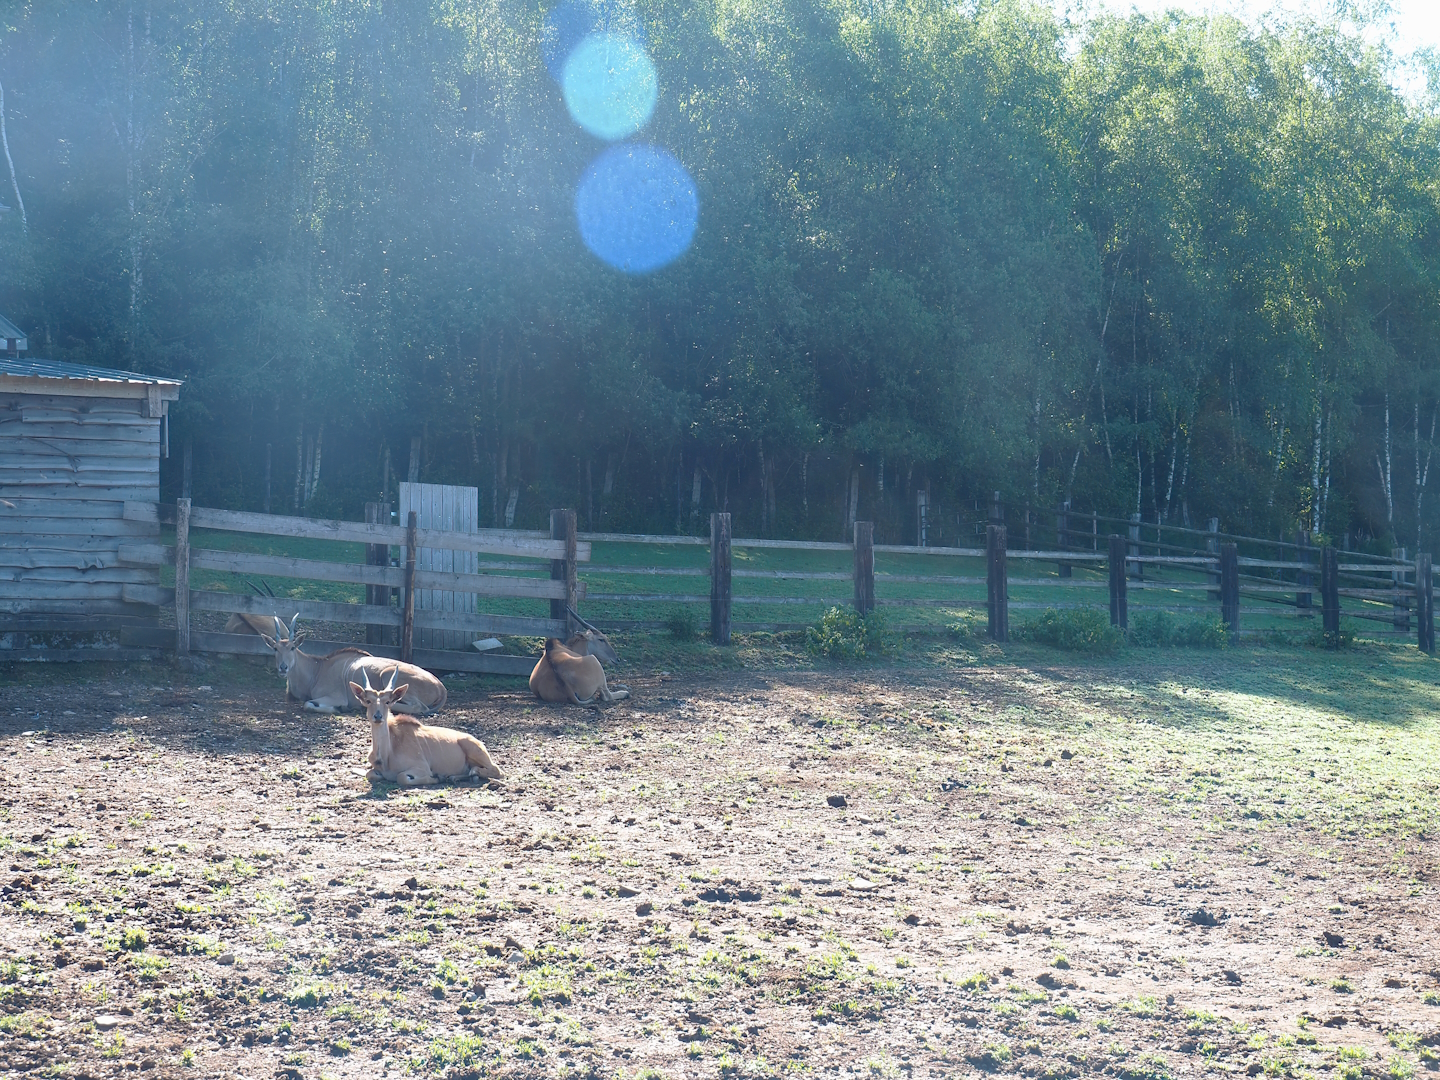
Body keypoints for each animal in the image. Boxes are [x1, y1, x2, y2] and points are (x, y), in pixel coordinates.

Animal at [259, 615, 447, 715]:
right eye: (275, 648)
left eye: (292, 647)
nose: (283, 668)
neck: (318, 669)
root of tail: (441, 687)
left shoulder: (335, 696)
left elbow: (308, 704)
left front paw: (339, 708)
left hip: (387, 674)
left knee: (418, 707)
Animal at [354, 669, 503, 787]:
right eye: (368, 701)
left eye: (388, 701)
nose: (378, 716)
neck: (387, 755)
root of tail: (478, 741)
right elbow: (369, 774)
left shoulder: (422, 767)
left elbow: (402, 777)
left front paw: (436, 777)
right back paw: (453, 777)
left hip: (476, 752)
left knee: (497, 770)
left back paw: (471, 773)